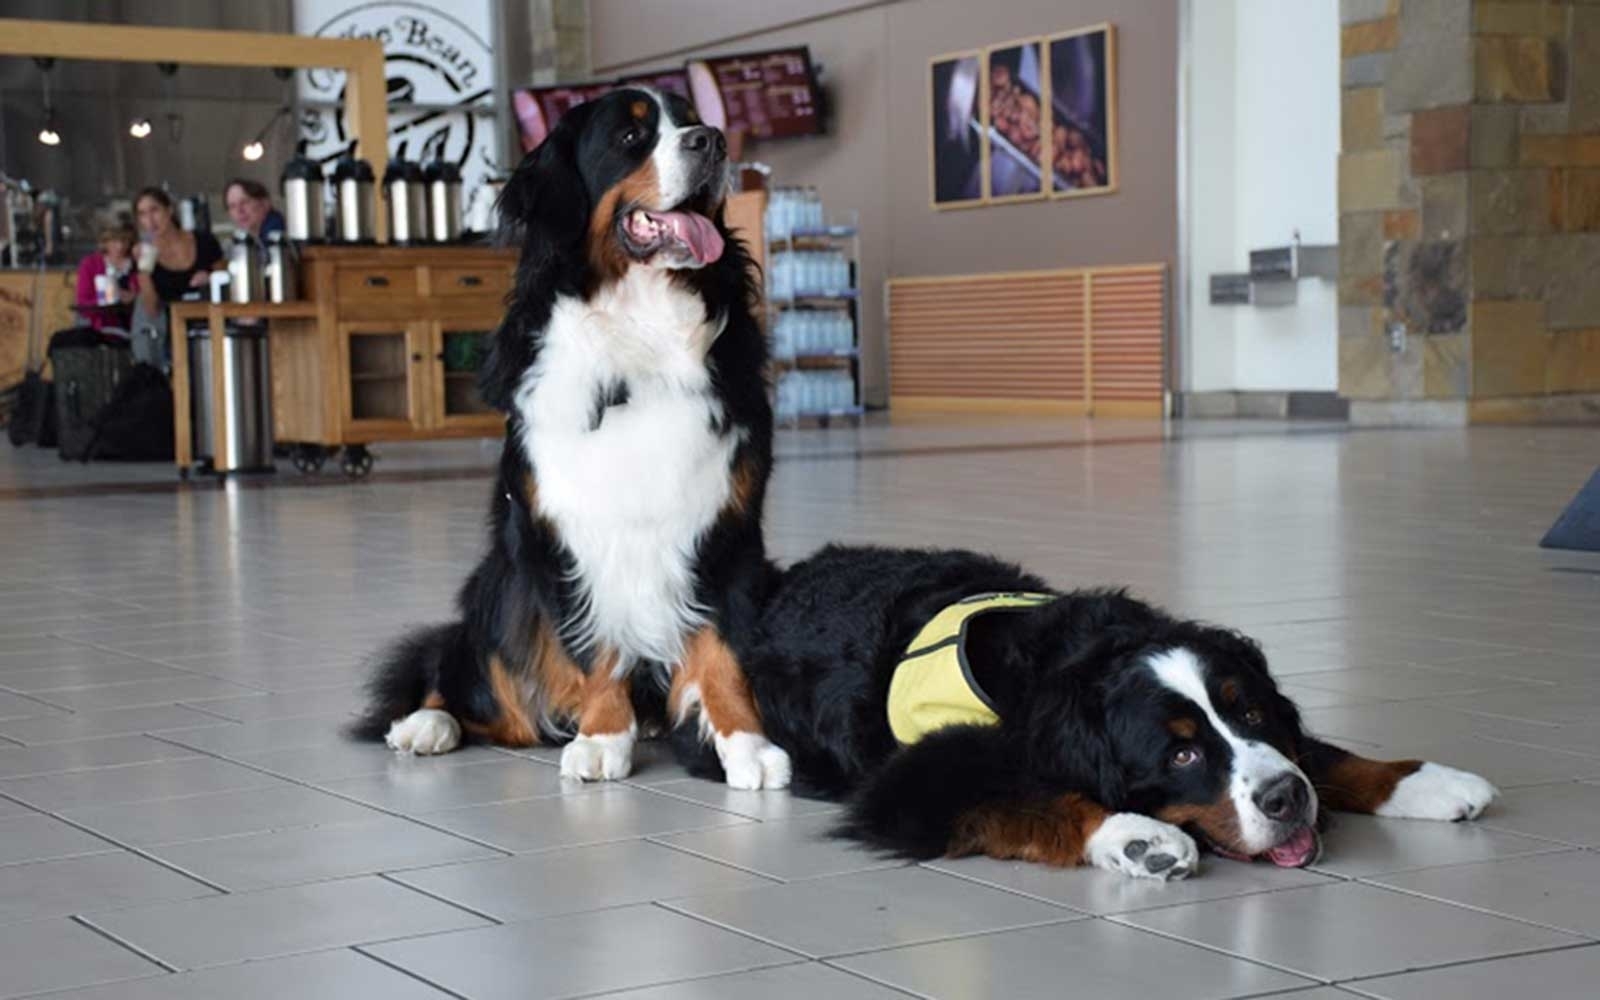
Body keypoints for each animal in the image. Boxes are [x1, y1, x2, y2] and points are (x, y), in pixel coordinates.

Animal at [356, 87, 793, 787]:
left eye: (692, 118)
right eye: (630, 137)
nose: (713, 142)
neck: (643, 324)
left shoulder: (728, 525)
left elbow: (722, 645)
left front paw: (746, 745)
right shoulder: (563, 527)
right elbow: (596, 645)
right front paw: (602, 737)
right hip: (501, 588)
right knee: (468, 674)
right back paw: (426, 723)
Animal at [694, 547, 1504, 883]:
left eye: (1251, 713)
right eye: (1181, 754)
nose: (1285, 800)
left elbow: (1321, 750)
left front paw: (1423, 781)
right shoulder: (910, 787)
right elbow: (1030, 801)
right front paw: (1135, 838)